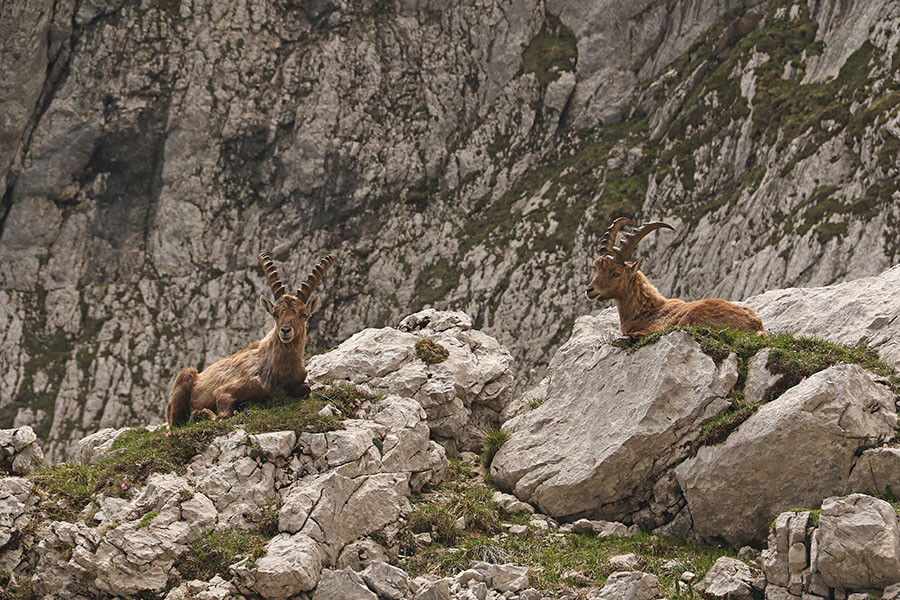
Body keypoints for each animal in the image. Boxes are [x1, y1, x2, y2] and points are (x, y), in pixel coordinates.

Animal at [166, 252, 337, 427]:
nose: (285, 331)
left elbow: (306, 389)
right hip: (186, 376)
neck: (281, 371)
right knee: (176, 423)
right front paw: (202, 413)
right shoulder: (225, 390)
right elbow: (224, 413)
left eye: (303, 314)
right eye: (275, 314)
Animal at [586, 218, 765, 337]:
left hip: (694, 315)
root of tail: (755, 324)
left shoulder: (656, 327)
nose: (589, 290)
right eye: (598, 270)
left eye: (616, 273)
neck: (646, 310)